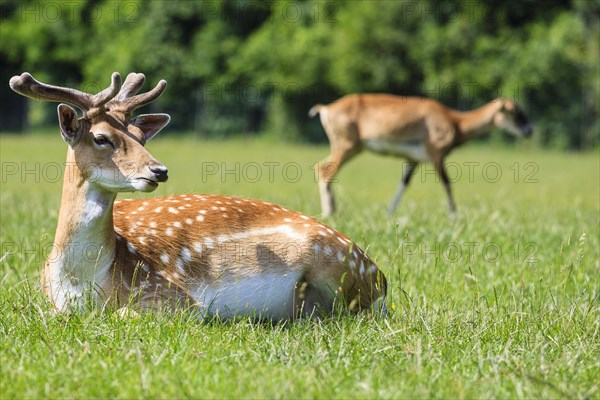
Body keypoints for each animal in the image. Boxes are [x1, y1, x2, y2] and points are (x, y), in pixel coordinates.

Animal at [10, 72, 390, 318]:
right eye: (101, 138)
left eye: (140, 136)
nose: (159, 171)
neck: (83, 281)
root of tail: (382, 278)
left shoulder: (172, 297)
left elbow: (124, 315)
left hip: (334, 266)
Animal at [310, 94, 536, 216]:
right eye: (514, 112)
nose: (529, 130)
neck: (455, 121)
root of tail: (326, 109)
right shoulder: (436, 155)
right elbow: (447, 183)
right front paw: (454, 216)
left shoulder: (414, 160)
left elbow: (404, 184)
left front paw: (389, 213)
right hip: (345, 146)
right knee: (324, 170)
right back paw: (329, 212)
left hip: (352, 148)